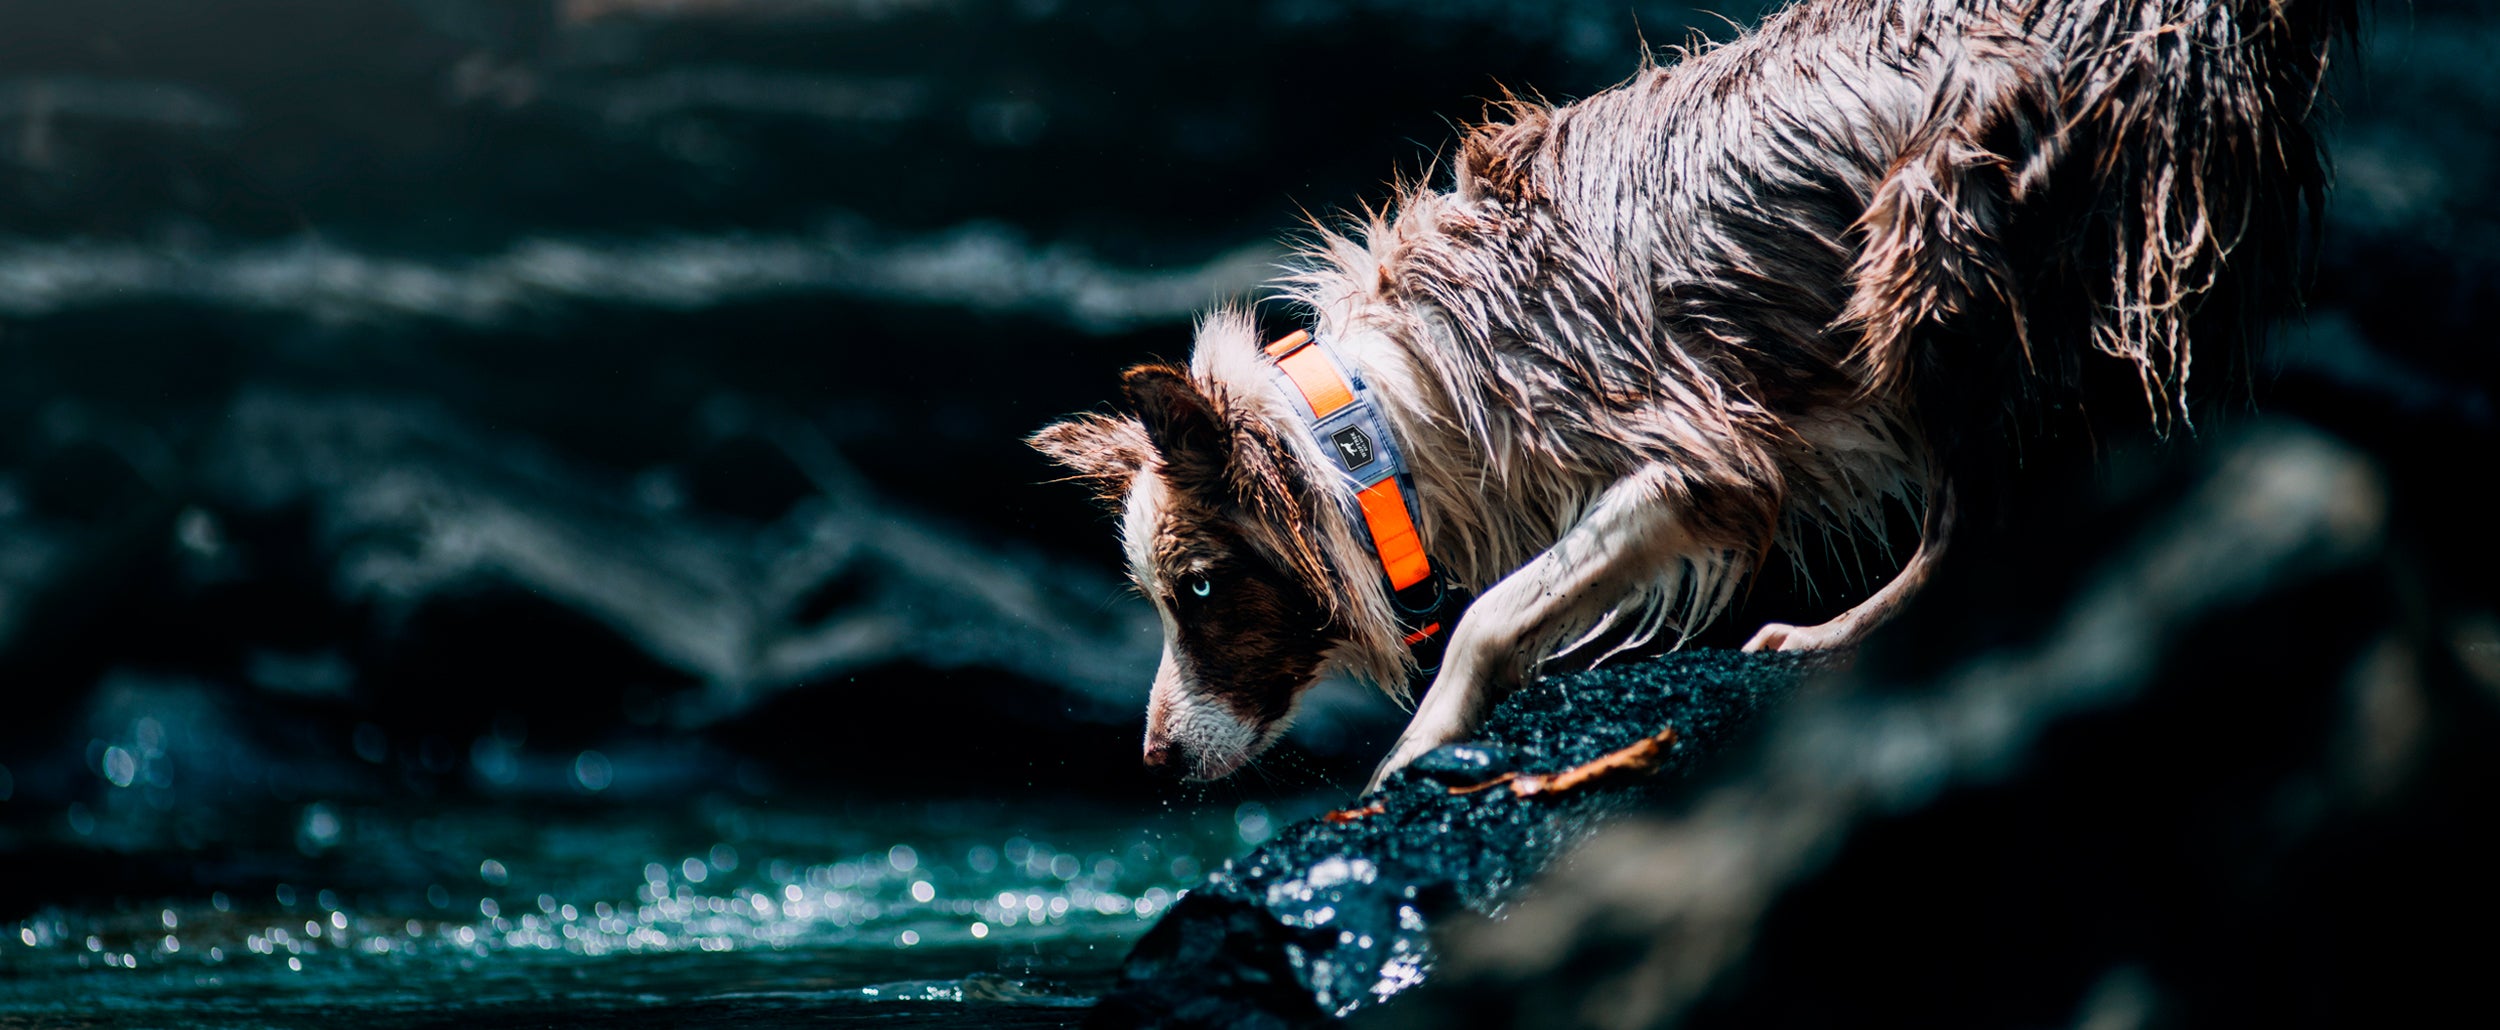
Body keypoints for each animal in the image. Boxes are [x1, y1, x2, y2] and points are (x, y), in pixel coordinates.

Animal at [1025, 0, 2350, 790]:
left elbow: (1493, 609)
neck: (1377, 421)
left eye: (1200, 590)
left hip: (1926, 245)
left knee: (1979, 510)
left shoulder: (1700, 453)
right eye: (1161, 599)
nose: (1149, 763)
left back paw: (1831, 633)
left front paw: (1414, 747)